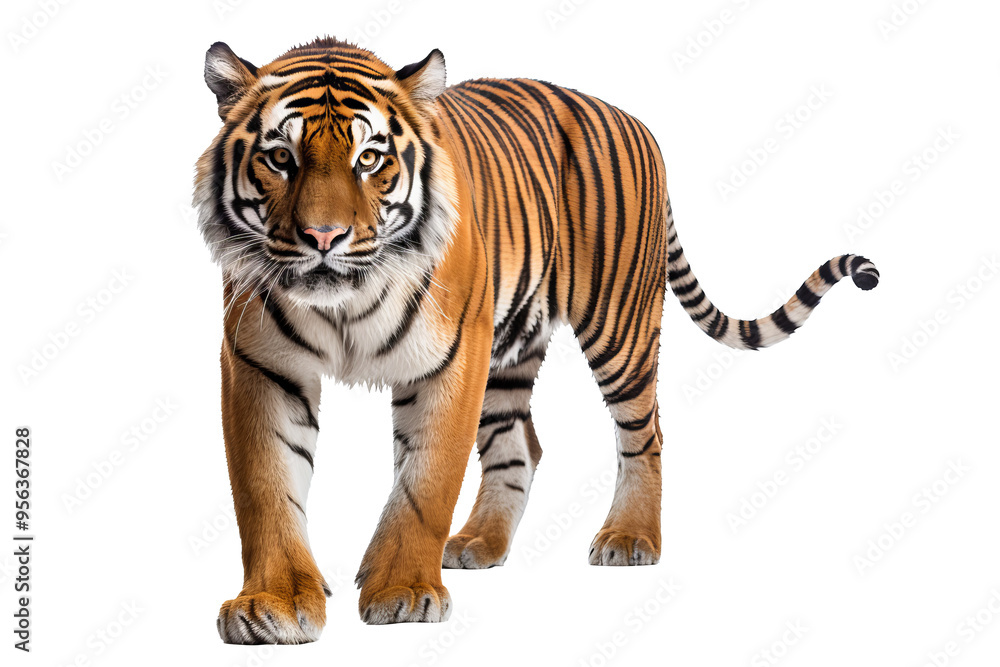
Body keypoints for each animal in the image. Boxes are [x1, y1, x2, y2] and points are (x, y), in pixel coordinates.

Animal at [193, 36, 879, 644]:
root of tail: (634, 120)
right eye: (280, 159)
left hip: (618, 326)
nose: (324, 237)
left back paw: (630, 538)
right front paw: (274, 606)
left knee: (645, 433)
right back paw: (479, 543)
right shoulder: (261, 364)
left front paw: (402, 592)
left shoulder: (449, 361)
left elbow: (426, 481)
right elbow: (267, 487)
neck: (347, 303)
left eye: (369, 160)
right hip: (509, 349)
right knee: (520, 444)